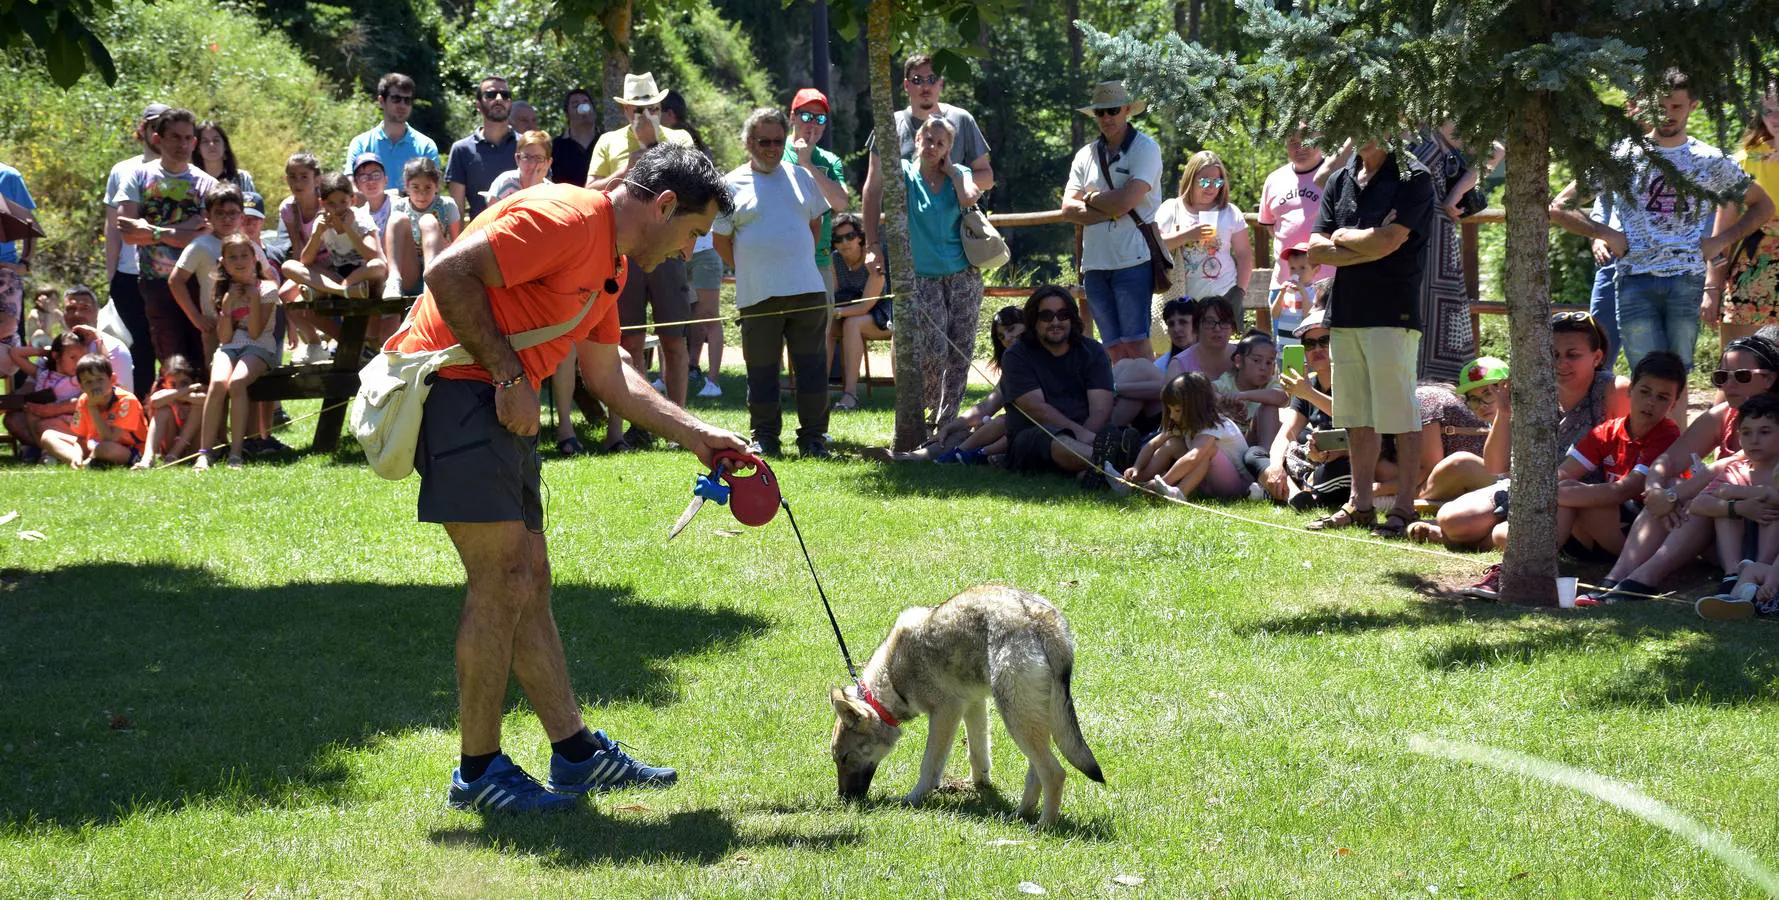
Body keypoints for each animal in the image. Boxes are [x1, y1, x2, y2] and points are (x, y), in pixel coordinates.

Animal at [829, 583, 1102, 828]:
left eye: (844, 758)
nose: (843, 800)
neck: (893, 678)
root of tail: (1044, 620)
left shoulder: (945, 712)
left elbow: (929, 766)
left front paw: (913, 799)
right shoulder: (974, 704)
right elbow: (978, 754)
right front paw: (980, 786)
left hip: (1016, 720)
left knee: (1055, 773)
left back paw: (1044, 826)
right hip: (1027, 721)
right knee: (1036, 772)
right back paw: (1020, 815)